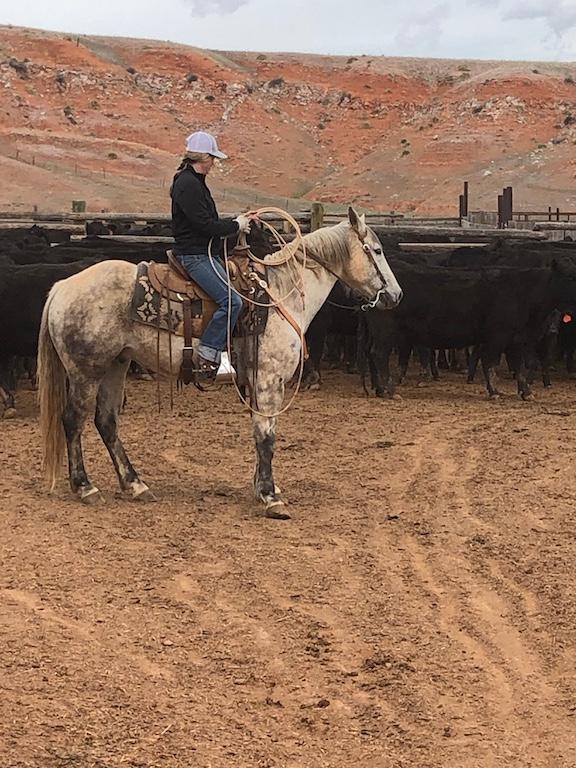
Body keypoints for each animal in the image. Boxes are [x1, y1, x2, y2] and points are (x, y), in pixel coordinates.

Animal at [37, 208, 400, 516]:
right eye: (376, 250)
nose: (395, 295)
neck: (280, 294)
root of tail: (61, 287)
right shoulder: (269, 379)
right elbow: (267, 436)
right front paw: (271, 497)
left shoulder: (258, 382)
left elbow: (260, 432)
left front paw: (261, 487)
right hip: (86, 371)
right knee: (73, 420)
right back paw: (85, 487)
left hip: (116, 365)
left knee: (107, 422)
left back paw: (135, 484)